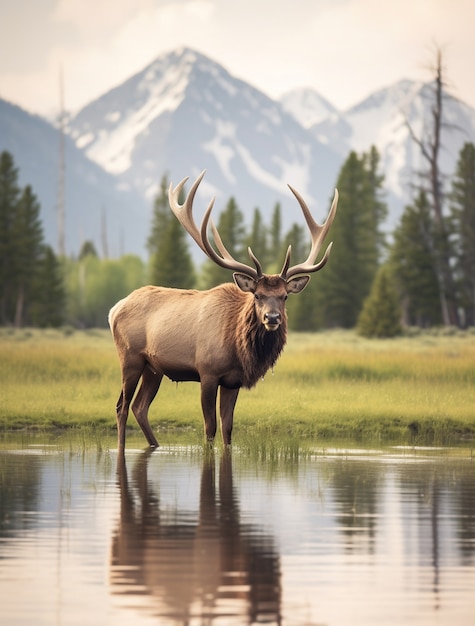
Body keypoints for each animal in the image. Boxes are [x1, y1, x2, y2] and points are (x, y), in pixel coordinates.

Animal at [109, 172, 338, 448]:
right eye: (257, 295)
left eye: (284, 297)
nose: (272, 317)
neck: (237, 347)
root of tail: (114, 309)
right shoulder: (207, 372)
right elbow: (209, 428)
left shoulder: (233, 381)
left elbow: (228, 429)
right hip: (130, 357)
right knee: (121, 406)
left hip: (153, 367)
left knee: (140, 407)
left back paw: (155, 445)